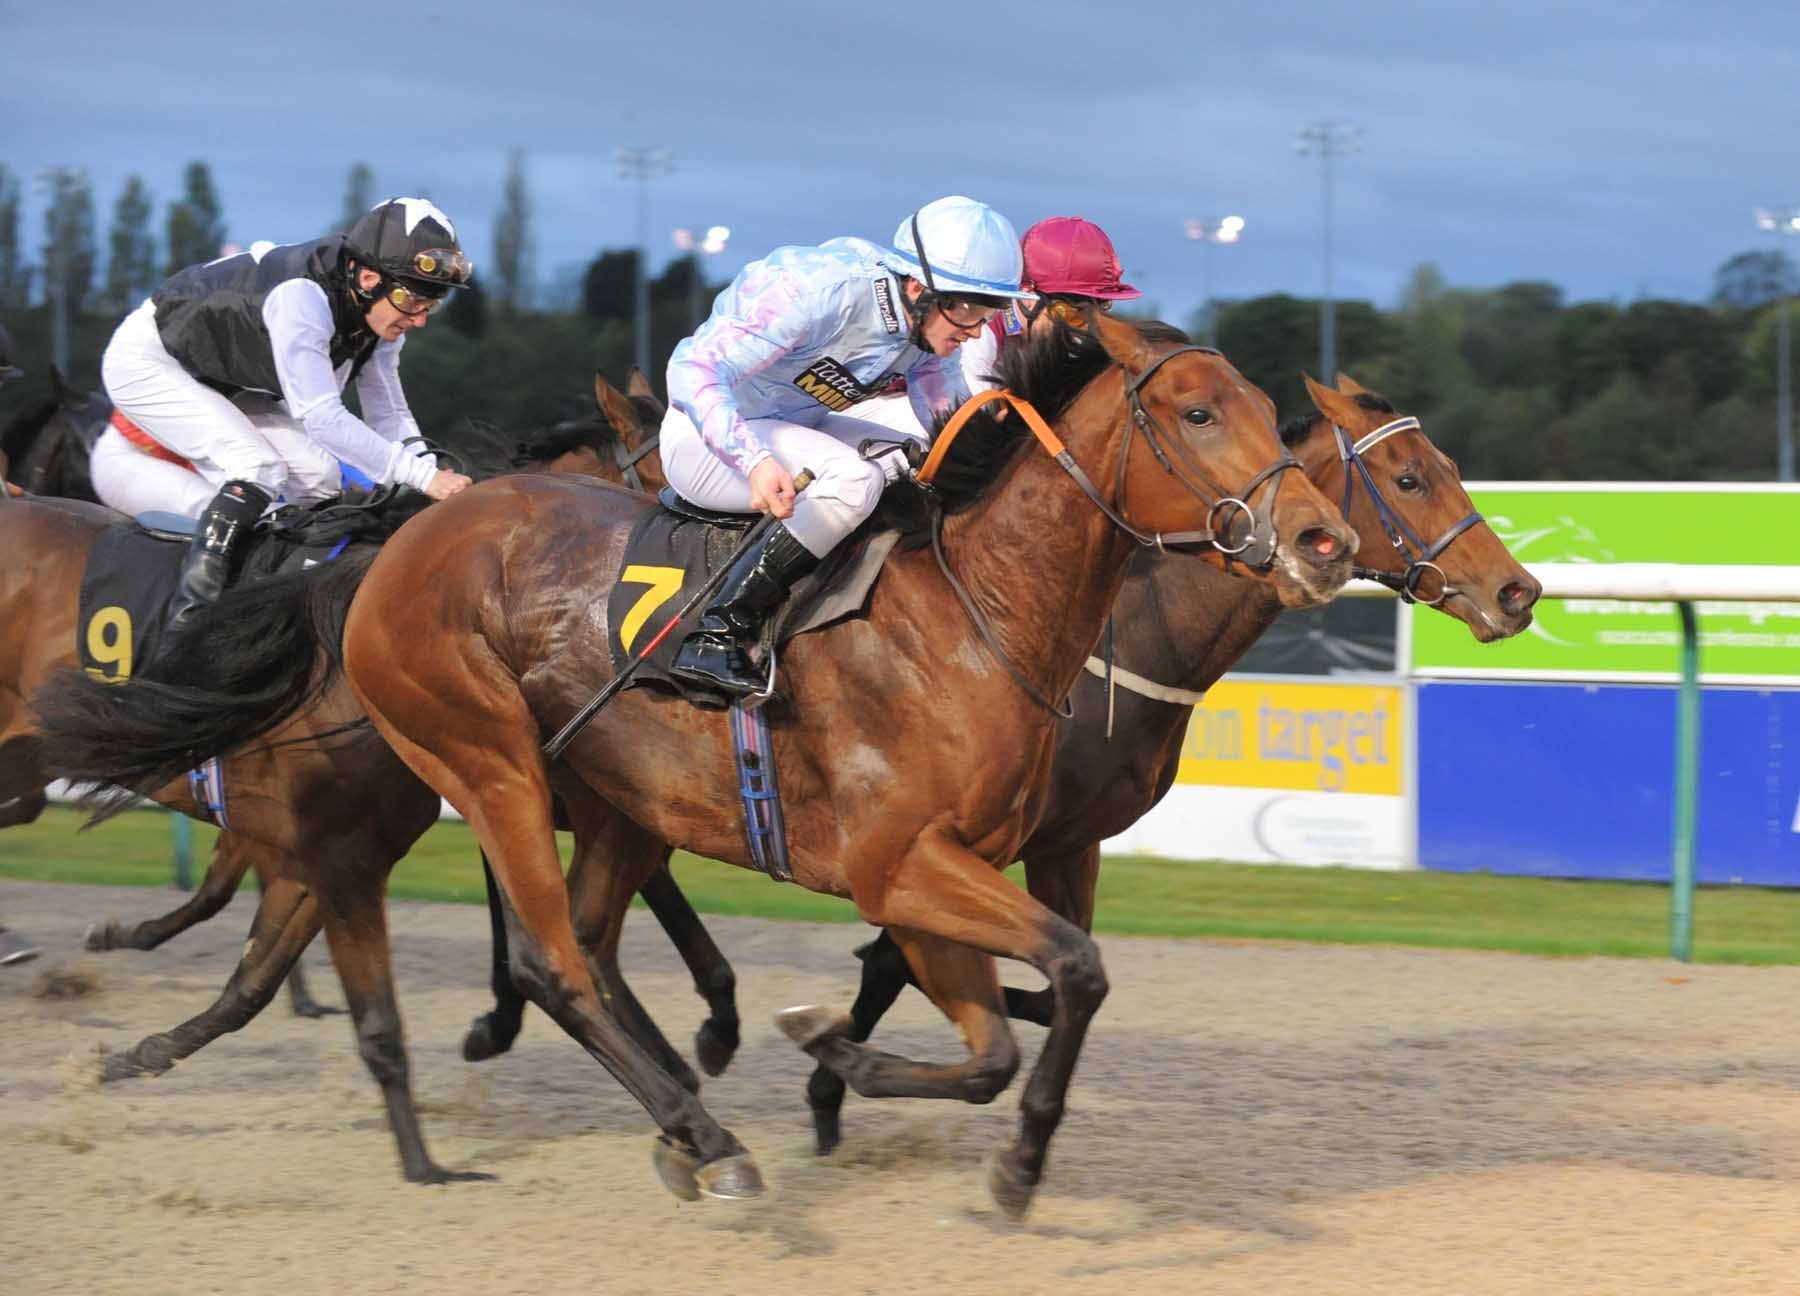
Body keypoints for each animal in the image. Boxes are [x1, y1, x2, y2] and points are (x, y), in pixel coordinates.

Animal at [33, 311, 1361, 1214]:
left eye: (1265, 410)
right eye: (1197, 413)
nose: (1321, 539)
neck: (976, 615)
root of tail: (398, 541)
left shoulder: (947, 873)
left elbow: (1006, 1035)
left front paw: (990, 1146)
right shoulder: (898, 865)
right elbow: (1066, 975)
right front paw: (831, 1053)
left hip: (616, 800)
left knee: (578, 945)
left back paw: (684, 1117)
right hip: (491, 759)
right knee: (554, 960)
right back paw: (705, 1138)